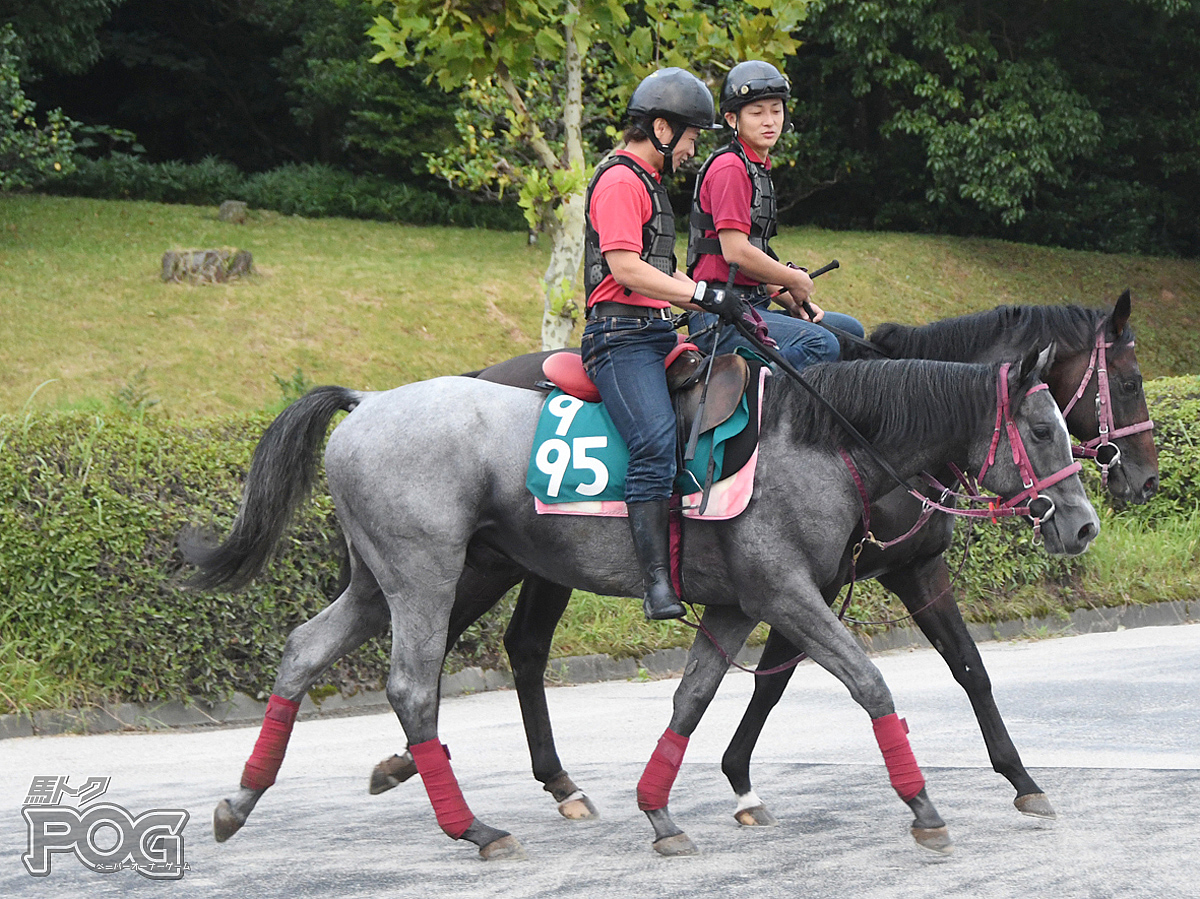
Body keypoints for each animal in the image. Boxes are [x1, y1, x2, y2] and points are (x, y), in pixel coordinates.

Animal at [184, 348, 1099, 859]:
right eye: (1044, 429)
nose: (1085, 522)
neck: (816, 440)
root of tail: (370, 403)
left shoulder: (739, 606)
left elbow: (692, 699)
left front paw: (662, 810)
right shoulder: (790, 594)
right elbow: (872, 684)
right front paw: (924, 806)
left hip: (382, 582)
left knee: (304, 649)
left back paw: (241, 799)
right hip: (428, 573)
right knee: (416, 685)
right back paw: (473, 825)